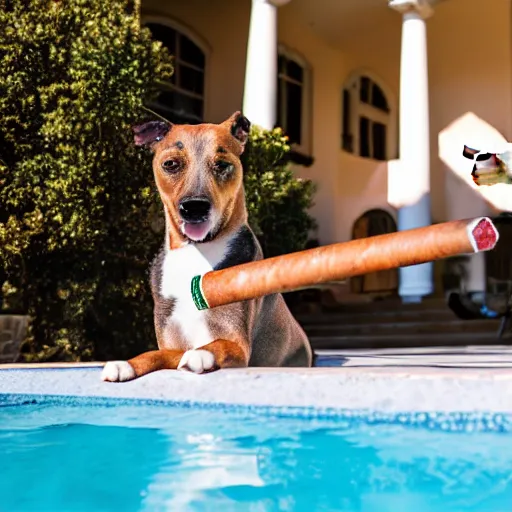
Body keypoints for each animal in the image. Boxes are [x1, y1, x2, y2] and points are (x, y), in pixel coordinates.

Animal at [101, 112, 312, 384]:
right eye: (171, 164)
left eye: (222, 164)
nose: (194, 207)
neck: (197, 252)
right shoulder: (172, 341)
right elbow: (154, 354)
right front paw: (125, 363)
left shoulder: (238, 343)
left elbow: (218, 344)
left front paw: (201, 355)